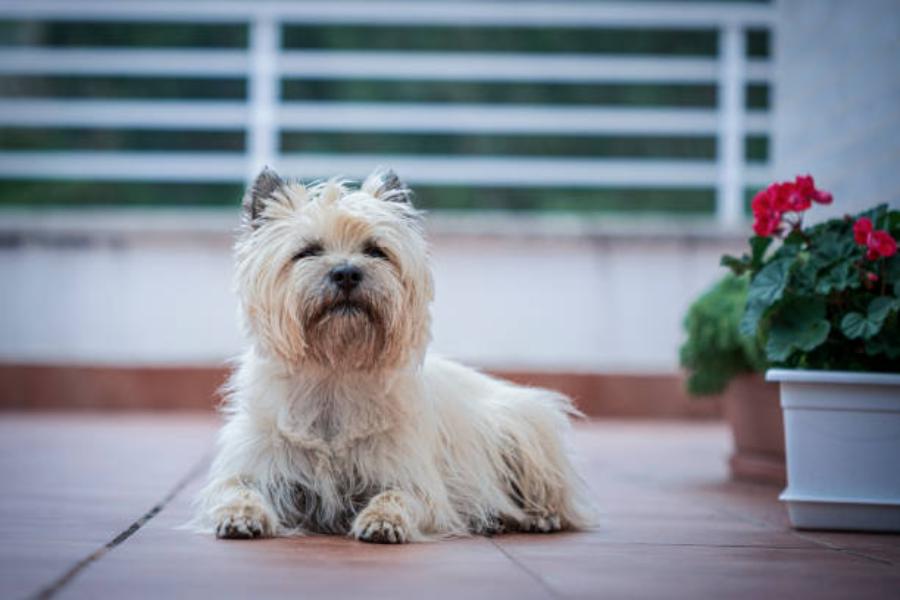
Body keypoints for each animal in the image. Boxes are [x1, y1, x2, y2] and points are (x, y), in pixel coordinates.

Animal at [193, 168, 596, 544]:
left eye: (375, 250)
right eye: (307, 251)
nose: (346, 273)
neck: (334, 371)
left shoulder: (412, 480)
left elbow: (396, 496)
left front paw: (382, 521)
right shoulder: (255, 467)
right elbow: (237, 490)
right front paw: (240, 516)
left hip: (525, 428)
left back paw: (537, 516)